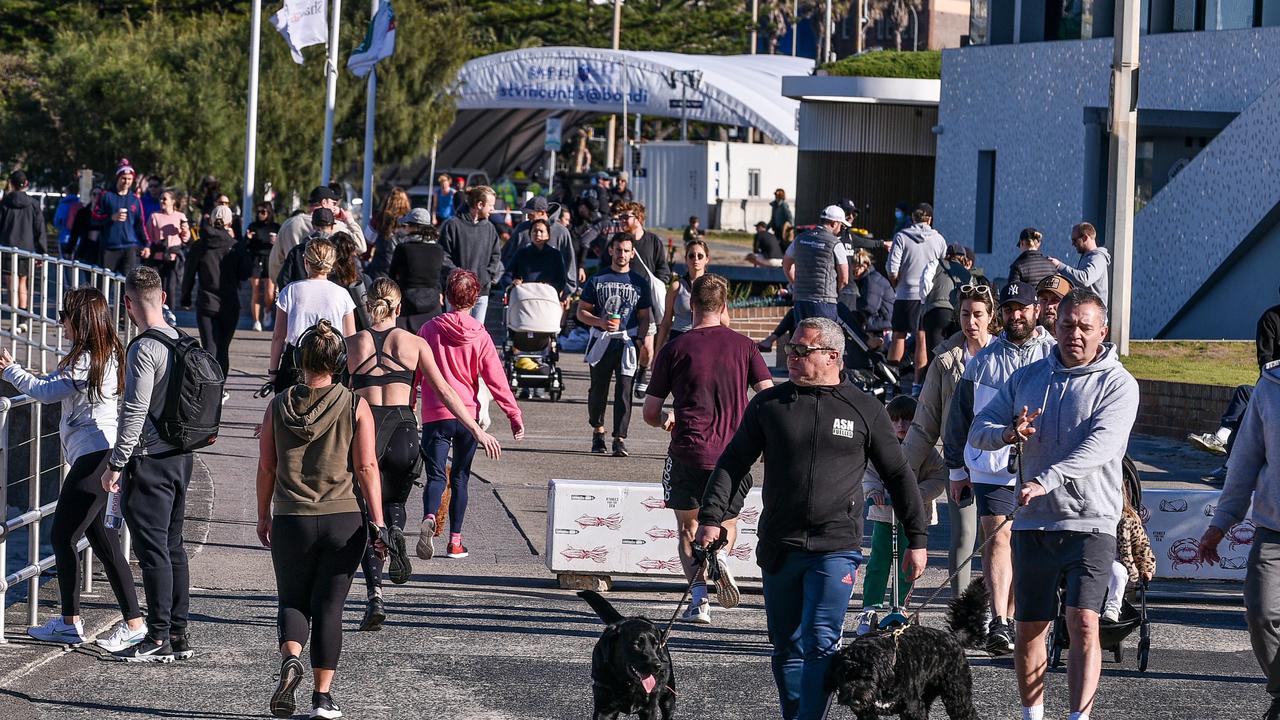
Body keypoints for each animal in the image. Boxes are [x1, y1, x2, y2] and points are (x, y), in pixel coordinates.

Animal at [581, 589, 680, 717]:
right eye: (636, 644)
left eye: (656, 644)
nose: (658, 665)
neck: (628, 683)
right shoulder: (604, 710)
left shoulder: (650, 709)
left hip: (668, 697)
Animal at [824, 573, 993, 717]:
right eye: (843, 675)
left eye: (868, 677)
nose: (855, 699)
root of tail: (952, 636)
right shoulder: (867, 713)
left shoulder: (911, 709)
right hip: (927, 694)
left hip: (957, 693)